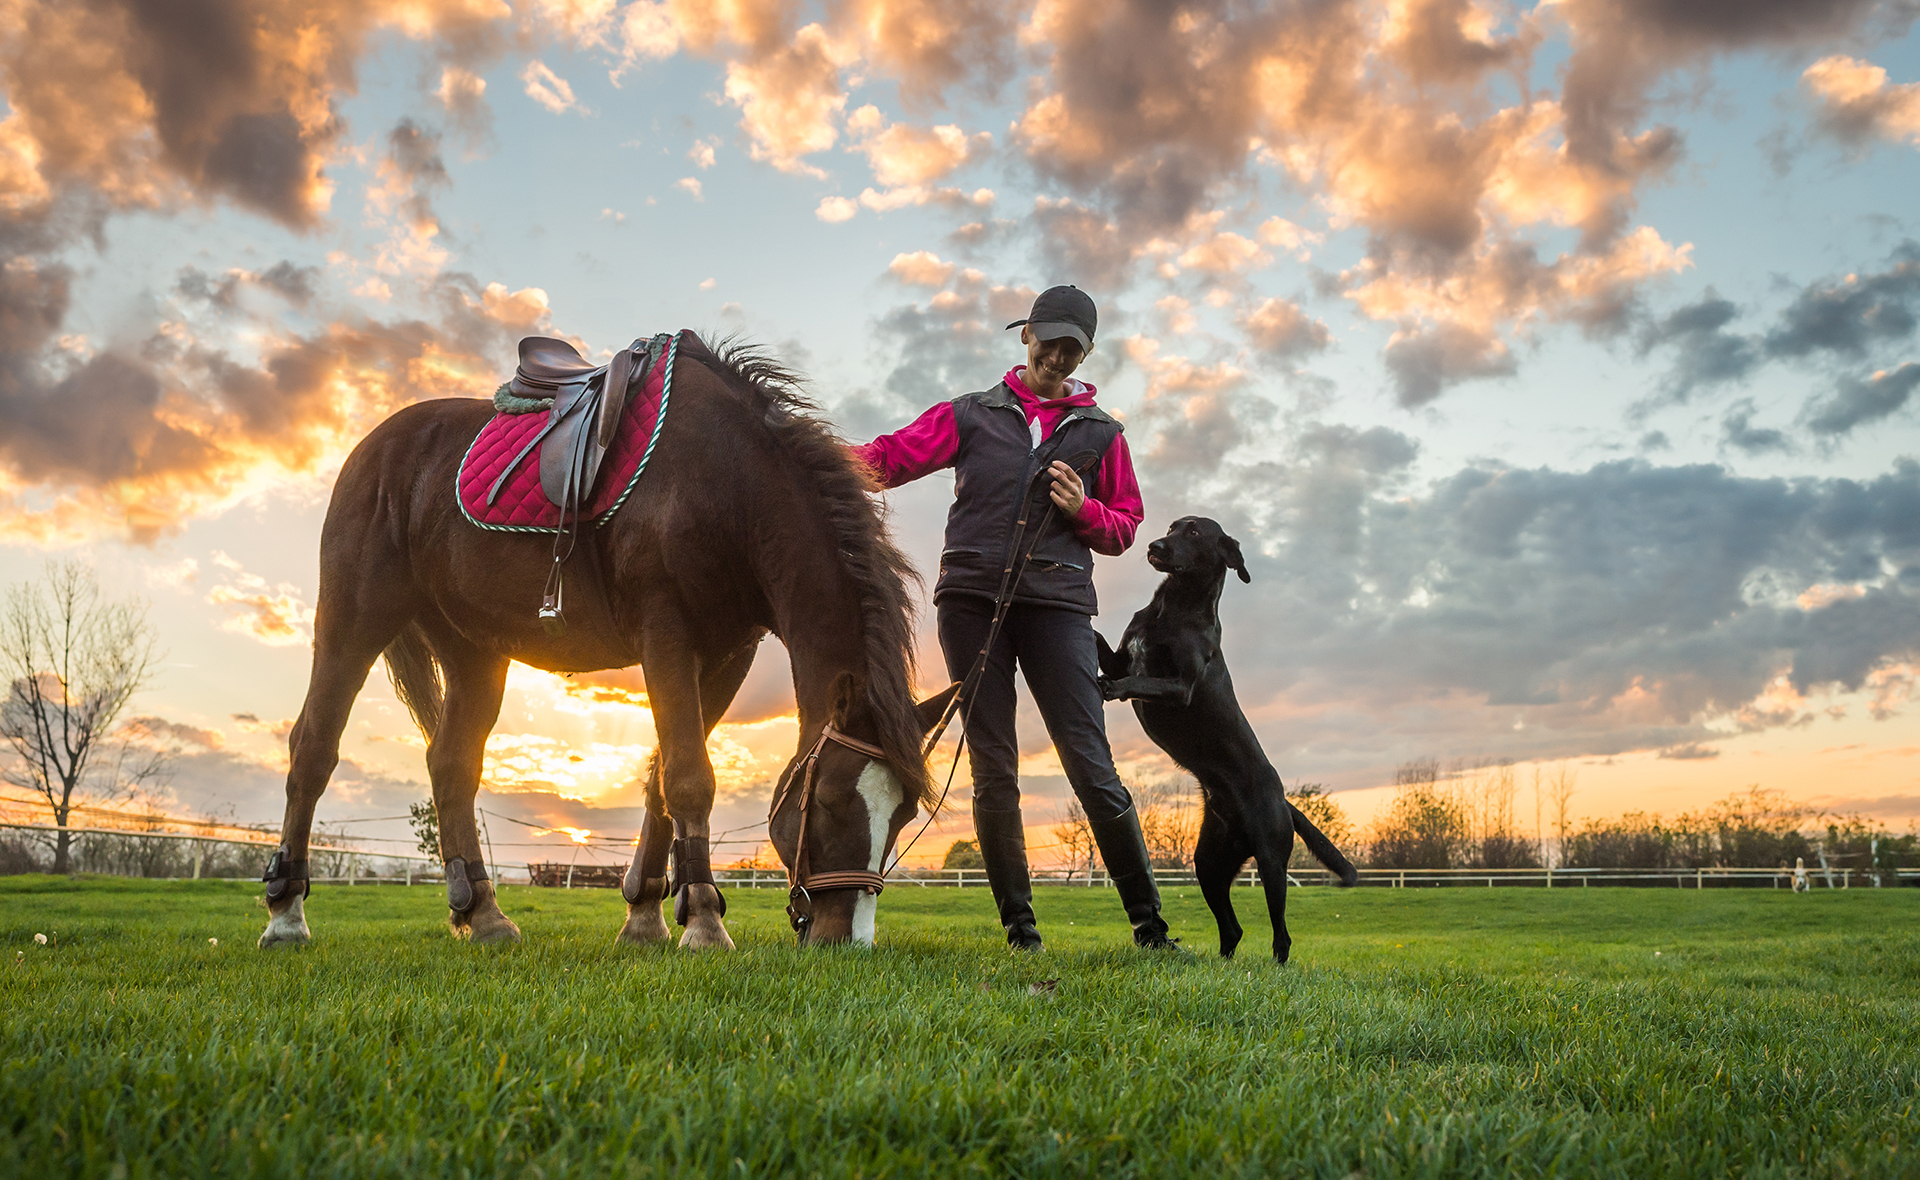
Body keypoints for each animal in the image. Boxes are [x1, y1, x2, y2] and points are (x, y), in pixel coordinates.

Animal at [257, 331, 952, 951]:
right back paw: (286, 916)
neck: (728, 481)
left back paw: (484, 915)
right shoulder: (665, 635)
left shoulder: (727, 656)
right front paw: (704, 922)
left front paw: (646, 917)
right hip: (353, 621)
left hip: (474, 652)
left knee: (452, 765)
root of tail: (375, 447)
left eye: (903, 816)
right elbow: (689, 777)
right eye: (831, 801)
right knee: (313, 749)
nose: (847, 939)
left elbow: (660, 779)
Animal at [1105, 521, 1359, 963]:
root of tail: (1284, 801)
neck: (1172, 608)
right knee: (1233, 928)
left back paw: (1276, 969)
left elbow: (1138, 680)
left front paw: (1112, 688)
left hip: (1272, 861)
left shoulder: (1179, 686)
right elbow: (1100, 645)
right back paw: (1222, 967)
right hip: (1209, 863)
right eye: (1171, 526)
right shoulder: (1123, 654)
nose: (1155, 545)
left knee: (1281, 934)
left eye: (1193, 531)